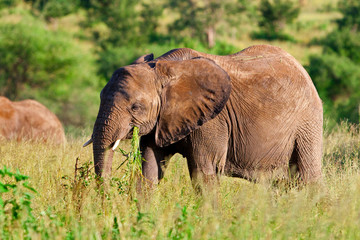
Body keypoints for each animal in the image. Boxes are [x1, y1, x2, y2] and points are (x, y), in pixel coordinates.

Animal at [84, 44, 324, 188]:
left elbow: (203, 174)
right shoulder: (161, 121)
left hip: (308, 121)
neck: (165, 69)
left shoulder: (212, 121)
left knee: (308, 176)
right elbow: (150, 169)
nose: (106, 198)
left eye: (135, 107)